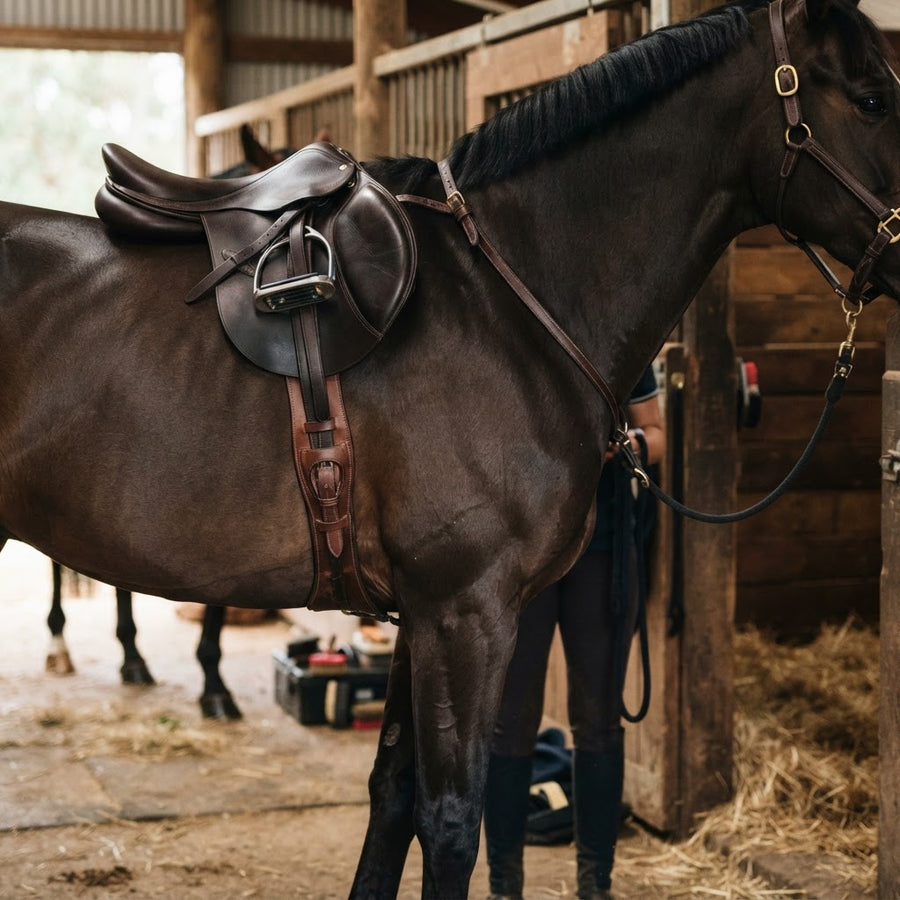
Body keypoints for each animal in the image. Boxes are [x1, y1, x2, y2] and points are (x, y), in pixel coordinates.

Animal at [0, 0, 897, 895]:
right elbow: (452, 821)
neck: (506, 307)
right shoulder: (468, 612)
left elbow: (393, 795)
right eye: (874, 100)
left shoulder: (423, 614)